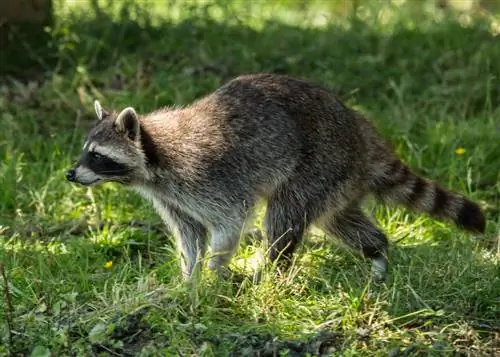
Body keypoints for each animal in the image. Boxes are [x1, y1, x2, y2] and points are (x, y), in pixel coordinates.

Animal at [64, 72, 486, 280]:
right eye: (86, 150)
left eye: (97, 156)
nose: (70, 174)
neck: (152, 163)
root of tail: (360, 129)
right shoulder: (172, 197)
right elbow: (190, 235)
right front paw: (188, 279)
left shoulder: (206, 176)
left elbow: (228, 223)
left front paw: (212, 275)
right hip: (337, 180)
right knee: (339, 219)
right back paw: (377, 251)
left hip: (319, 162)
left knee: (284, 217)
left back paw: (271, 271)